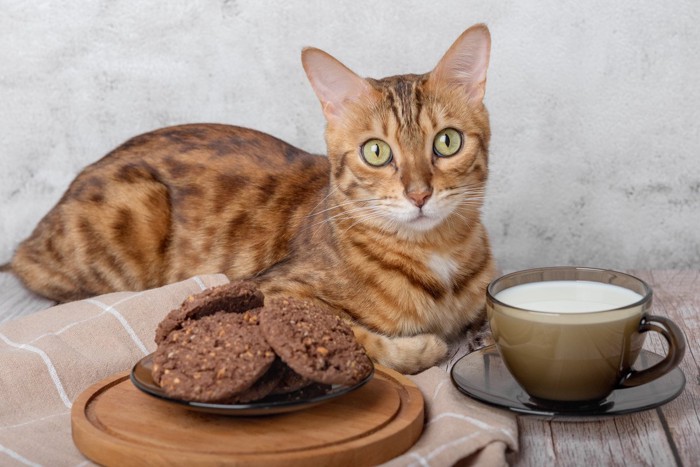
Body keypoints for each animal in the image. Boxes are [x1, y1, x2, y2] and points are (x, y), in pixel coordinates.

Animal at [6, 24, 498, 376]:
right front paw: (423, 347)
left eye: (447, 142)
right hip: (135, 206)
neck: (438, 257)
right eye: (376, 152)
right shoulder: (269, 293)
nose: (419, 194)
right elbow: (353, 334)